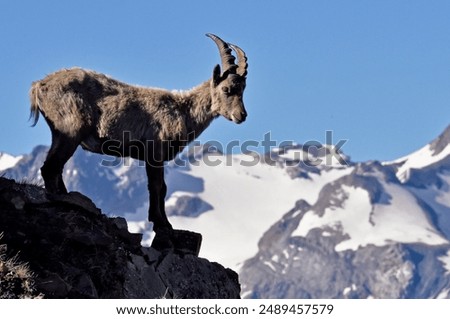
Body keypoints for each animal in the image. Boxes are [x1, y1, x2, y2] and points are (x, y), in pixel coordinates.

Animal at [29, 34, 248, 235]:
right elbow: (157, 186)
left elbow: (162, 188)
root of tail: (39, 86)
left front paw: (162, 222)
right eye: (227, 89)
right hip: (71, 131)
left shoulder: (156, 158)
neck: (182, 111)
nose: (242, 115)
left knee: (55, 166)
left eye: (243, 90)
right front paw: (161, 223)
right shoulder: (154, 153)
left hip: (60, 134)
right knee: (50, 167)